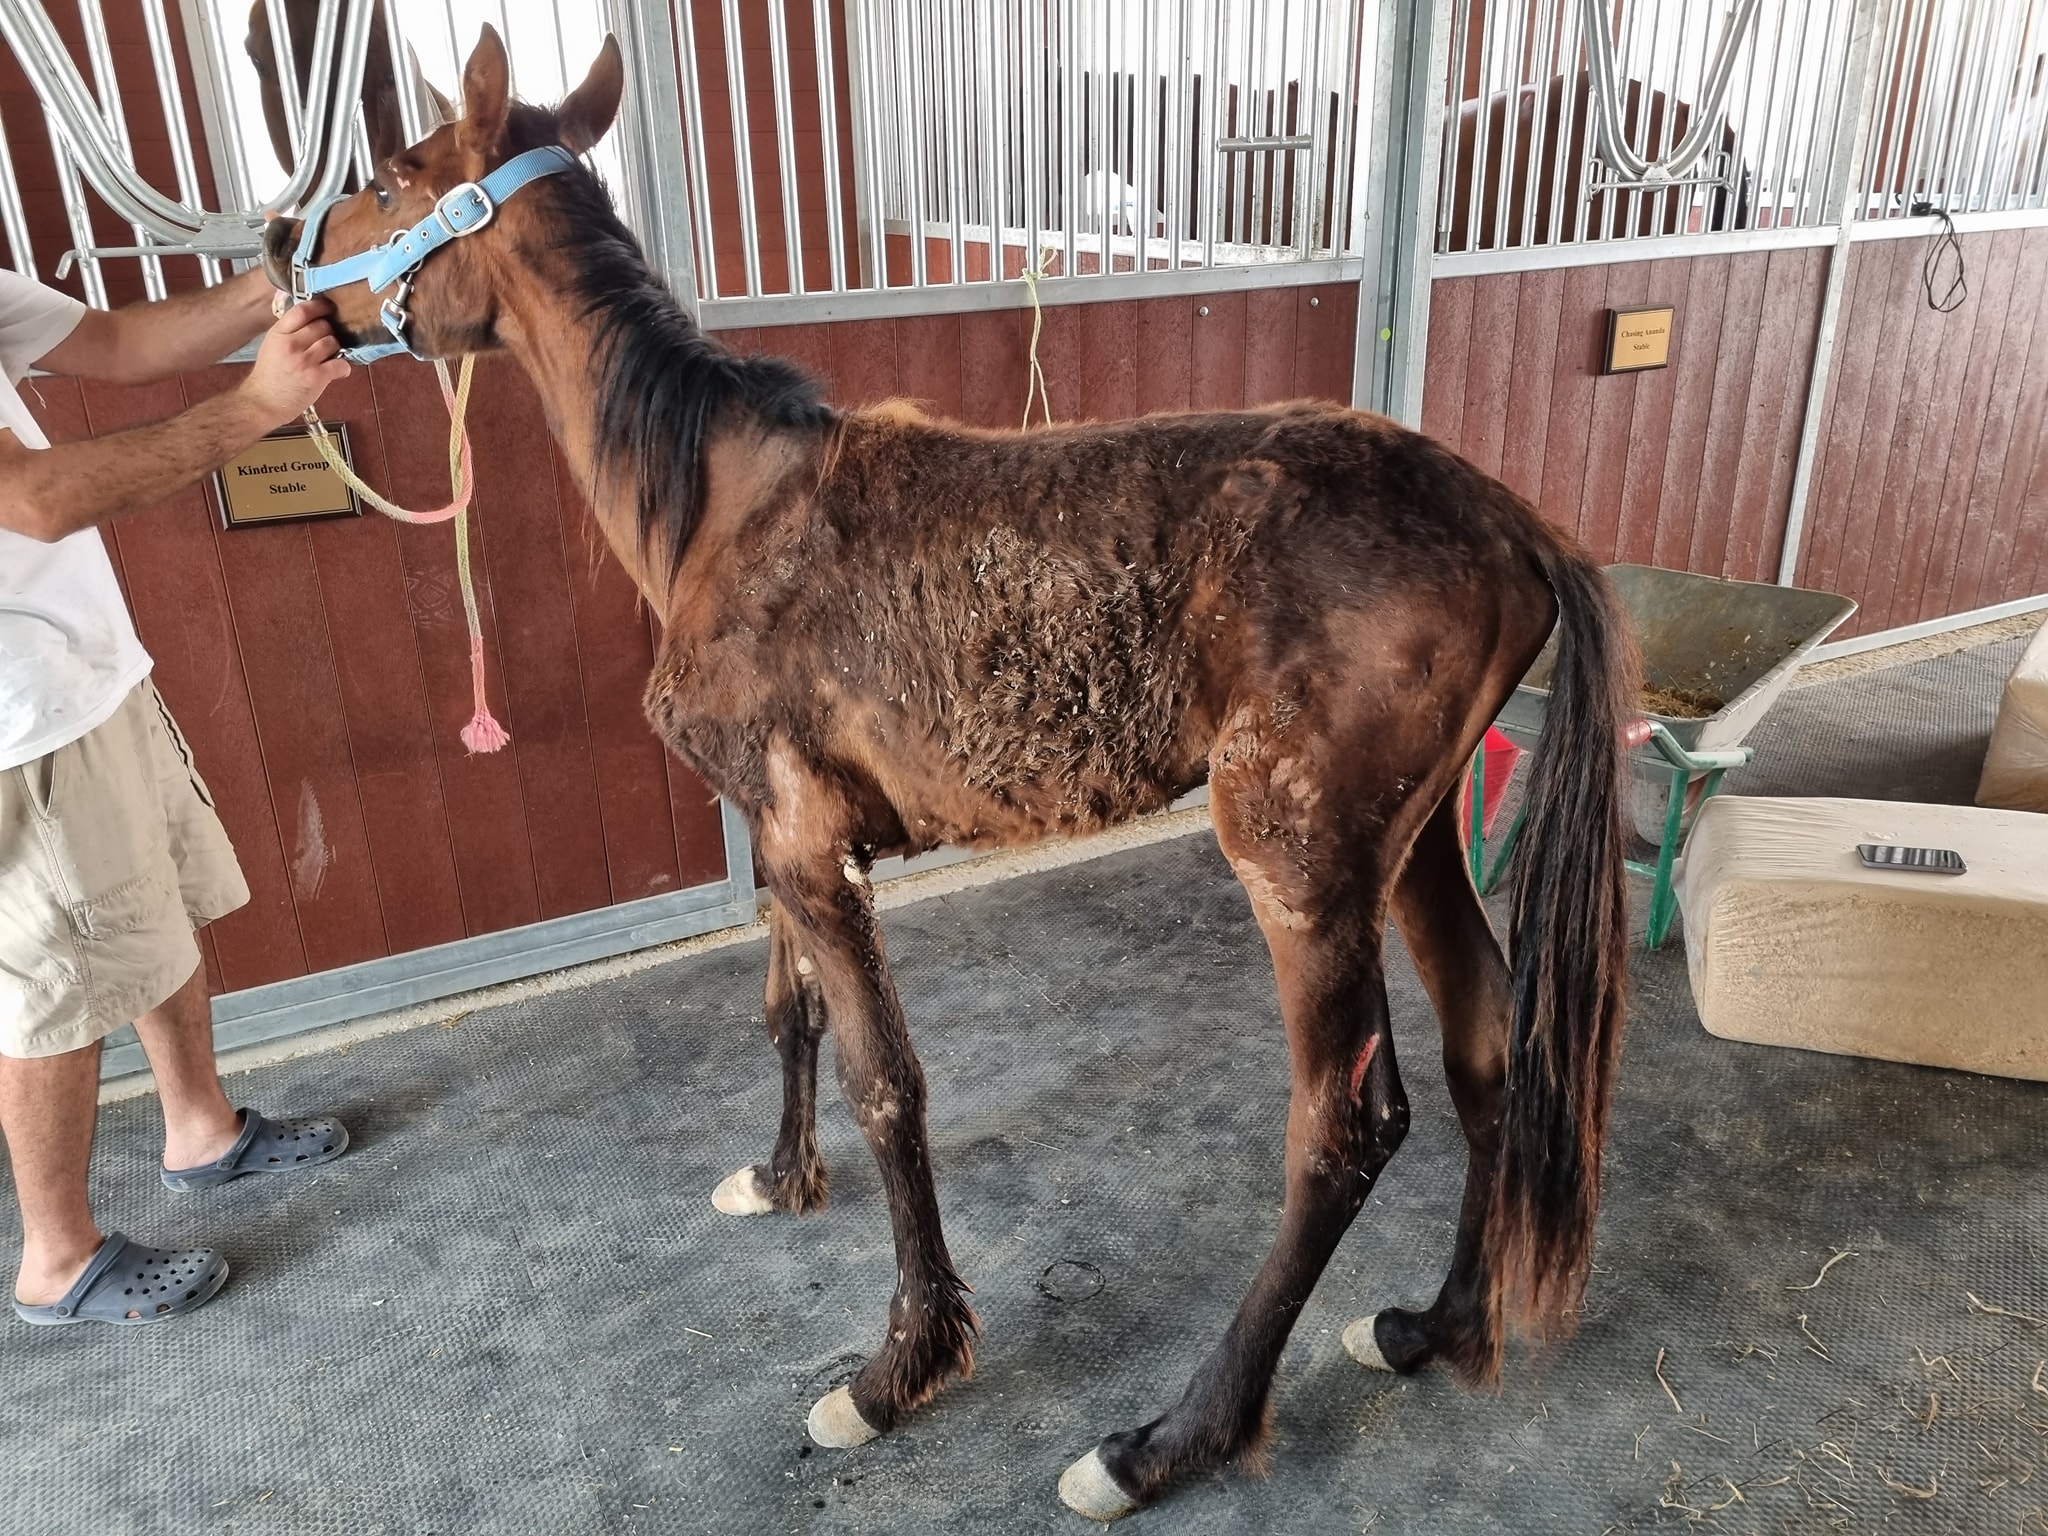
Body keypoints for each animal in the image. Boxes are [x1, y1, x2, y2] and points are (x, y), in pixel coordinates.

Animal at [262, 27, 1638, 1521]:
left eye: (388, 178)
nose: (280, 251)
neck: (723, 504)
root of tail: (1510, 521)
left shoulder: (810, 847)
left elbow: (889, 1087)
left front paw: (896, 1372)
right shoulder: (787, 836)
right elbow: (789, 1016)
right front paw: (779, 1177)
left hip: (1301, 860)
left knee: (1342, 1128)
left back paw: (1168, 1441)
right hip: (1414, 841)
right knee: (1488, 1043)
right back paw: (1434, 1328)